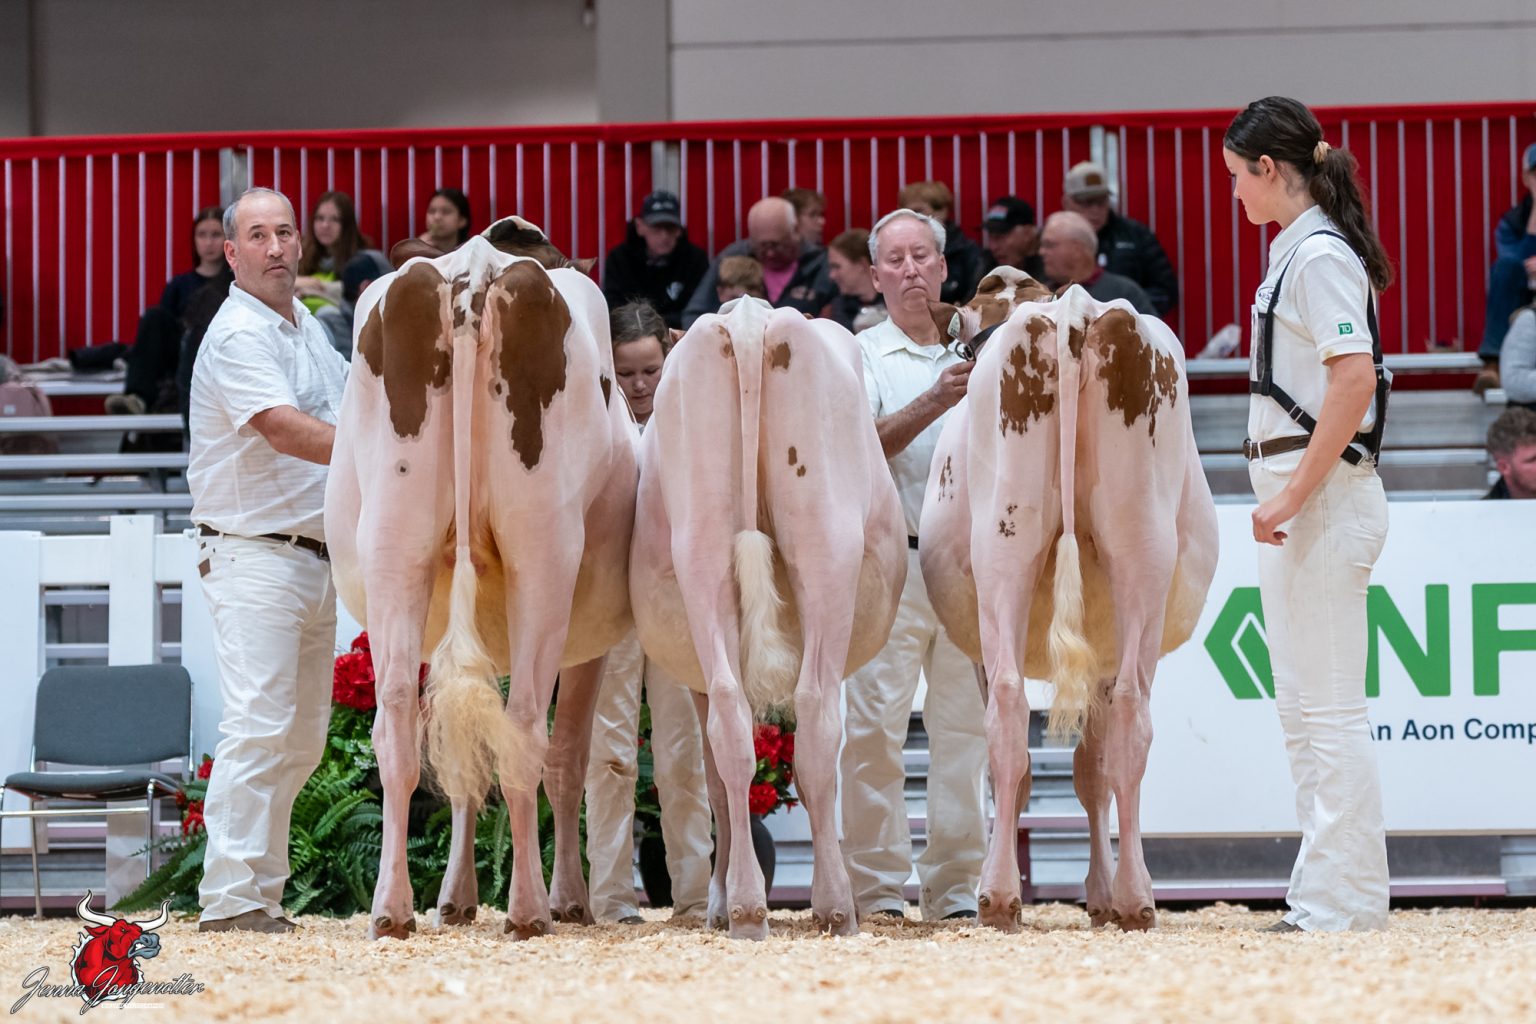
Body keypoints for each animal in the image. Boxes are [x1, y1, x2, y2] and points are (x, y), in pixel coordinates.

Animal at [326, 216, 637, 940]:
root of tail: (474, 273)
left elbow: (464, 751)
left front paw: (455, 896)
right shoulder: (594, 641)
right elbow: (568, 755)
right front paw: (569, 898)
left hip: (395, 546)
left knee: (399, 722)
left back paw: (392, 910)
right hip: (543, 554)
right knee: (527, 728)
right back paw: (529, 910)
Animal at [629, 297, 907, 939]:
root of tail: (750, 319)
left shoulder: (696, 678)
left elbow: (714, 778)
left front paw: (714, 902)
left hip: (701, 546)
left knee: (731, 724)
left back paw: (746, 908)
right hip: (826, 544)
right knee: (816, 723)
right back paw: (834, 905)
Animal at [920, 268, 1218, 932]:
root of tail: (1074, 313)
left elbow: (1071, 770)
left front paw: (1096, 894)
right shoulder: (1104, 652)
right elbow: (1092, 769)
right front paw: (1100, 895)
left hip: (1005, 543)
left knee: (1011, 710)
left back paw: (1001, 896)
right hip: (1139, 547)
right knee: (1128, 713)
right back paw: (1133, 898)